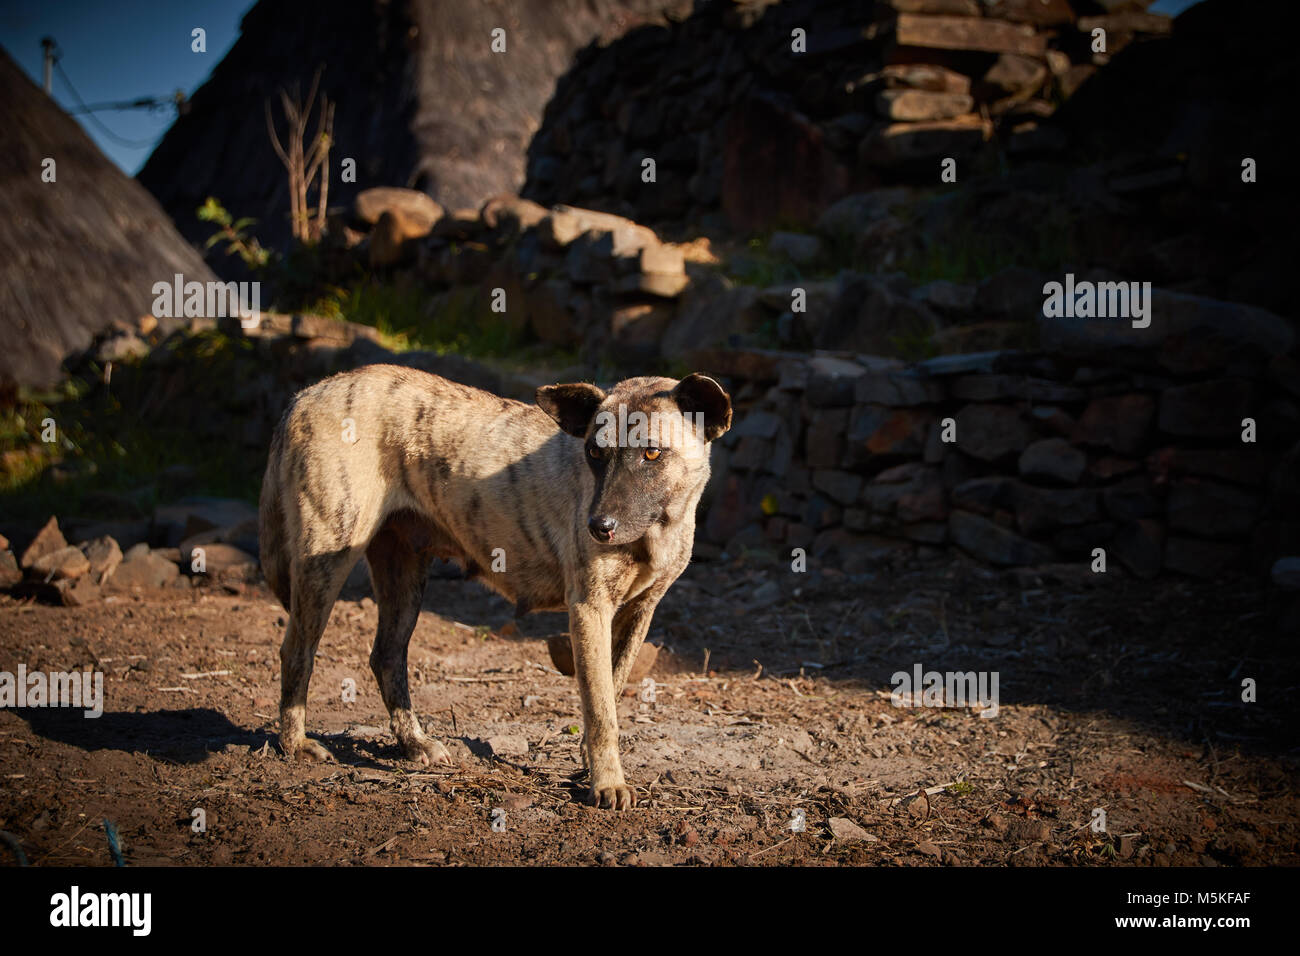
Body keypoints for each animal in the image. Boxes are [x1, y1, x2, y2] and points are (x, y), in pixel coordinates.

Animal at [261, 364, 733, 806]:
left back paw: (414, 744)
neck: (659, 528)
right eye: (595, 453)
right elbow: (600, 711)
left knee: (386, 657)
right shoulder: (589, 609)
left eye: (652, 453)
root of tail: (307, 394)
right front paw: (606, 783)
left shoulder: (638, 613)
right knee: (297, 652)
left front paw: (589, 765)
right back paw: (295, 744)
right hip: (327, 561)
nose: (599, 526)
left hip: (405, 578)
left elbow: (611, 695)